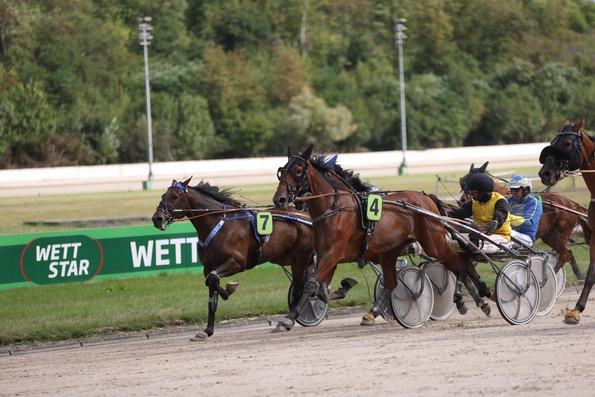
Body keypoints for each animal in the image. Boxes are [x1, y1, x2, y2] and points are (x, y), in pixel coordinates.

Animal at [152, 178, 316, 338]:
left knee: (302, 289)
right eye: (162, 196)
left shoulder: (238, 262)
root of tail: (307, 216)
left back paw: (289, 320)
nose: (157, 218)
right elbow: (211, 288)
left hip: (299, 258)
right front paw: (207, 330)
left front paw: (229, 289)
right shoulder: (209, 267)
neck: (218, 224)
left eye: (175, 196)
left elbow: (214, 279)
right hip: (286, 257)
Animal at [272, 144, 492, 330]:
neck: (335, 208)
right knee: (400, 280)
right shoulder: (327, 255)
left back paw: (484, 292)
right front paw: (333, 293)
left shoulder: (333, 253)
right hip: (392, 250)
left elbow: (311, 285)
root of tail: (426, 197)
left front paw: (288, 319)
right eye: (281, 170)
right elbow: (320, 287)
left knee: (461, 261)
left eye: (298, 170)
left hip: (433, 243)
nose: (279, 199)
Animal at [458, 160, 588, 278]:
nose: (461, 200)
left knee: (564, 255)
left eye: (472, 183)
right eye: (462, 182)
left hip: (562, 232)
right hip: (550, 235)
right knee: (567, 253)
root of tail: (570, 203)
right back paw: (579, 274)